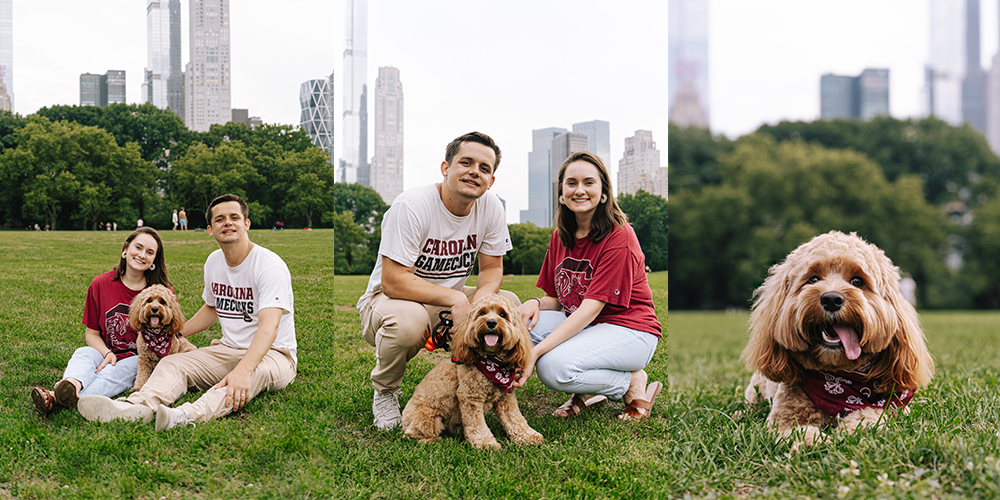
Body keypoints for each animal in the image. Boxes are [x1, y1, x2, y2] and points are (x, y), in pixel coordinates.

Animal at [398, 292, 544, 450]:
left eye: (502, 314)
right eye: (482, 313)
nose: (491, 322)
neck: (493, 363)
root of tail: (403, 419)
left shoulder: (505, 396)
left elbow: (515, 418)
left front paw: (528, 436)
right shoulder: (470, 396)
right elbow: (477, 425)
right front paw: (486, 444)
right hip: (428, 418)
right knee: (412, 435)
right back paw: (435, 441)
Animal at [736, 232, 936, 452]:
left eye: (857, 281)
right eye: (813, 279)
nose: (831, 299)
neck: (839, 377)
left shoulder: (892, 406)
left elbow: (872, 413)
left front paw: (854, 429)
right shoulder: (782, 420)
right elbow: (794, 431)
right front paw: (815, 440)